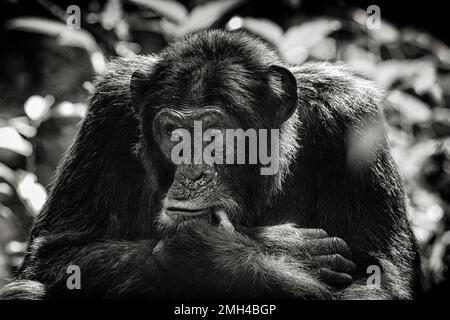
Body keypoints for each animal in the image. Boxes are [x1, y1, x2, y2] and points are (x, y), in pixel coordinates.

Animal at [1, 30, 420, 300]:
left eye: (215, 133)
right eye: (173, 132)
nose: (192, 173)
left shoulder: (351, 117)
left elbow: (377, 282)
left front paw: (213, 254)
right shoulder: (107, 114)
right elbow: (58, 252)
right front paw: (277, 245)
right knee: (25, 290)